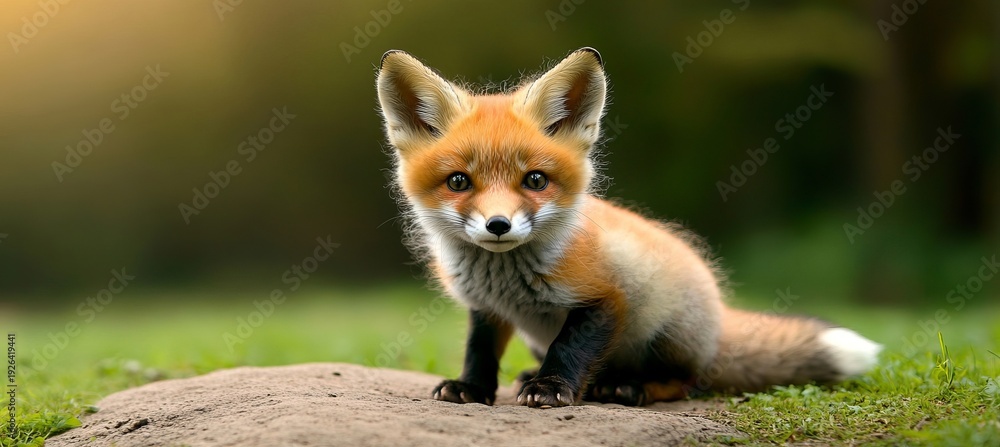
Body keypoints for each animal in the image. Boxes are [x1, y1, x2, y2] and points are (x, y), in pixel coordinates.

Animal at [375, 47, 881, 408]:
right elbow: (479, 351)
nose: (498, 225)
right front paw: (472, 388)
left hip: (668, 334)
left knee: (689, 382)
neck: (507, 282)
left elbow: (570, 348)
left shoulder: (605, 298)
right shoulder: (486, 308)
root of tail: (719, 321)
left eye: (534, 180)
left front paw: (551, 389)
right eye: (459, 181)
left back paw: (627, 388)